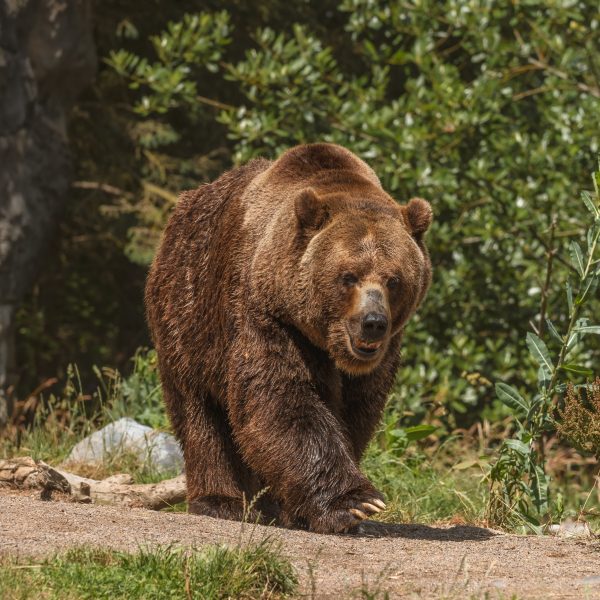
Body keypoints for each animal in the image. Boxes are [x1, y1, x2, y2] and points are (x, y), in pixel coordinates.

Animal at [145, 143, 432, 532]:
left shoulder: (376, 360)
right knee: (200, 412)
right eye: (348, 276)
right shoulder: (267, 315)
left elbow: (356, 413)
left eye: (394, 279)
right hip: (188, 313)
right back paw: (220, 500)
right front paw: (354, 503)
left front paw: (303, 509)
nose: (373, 323)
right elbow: (281, 399)